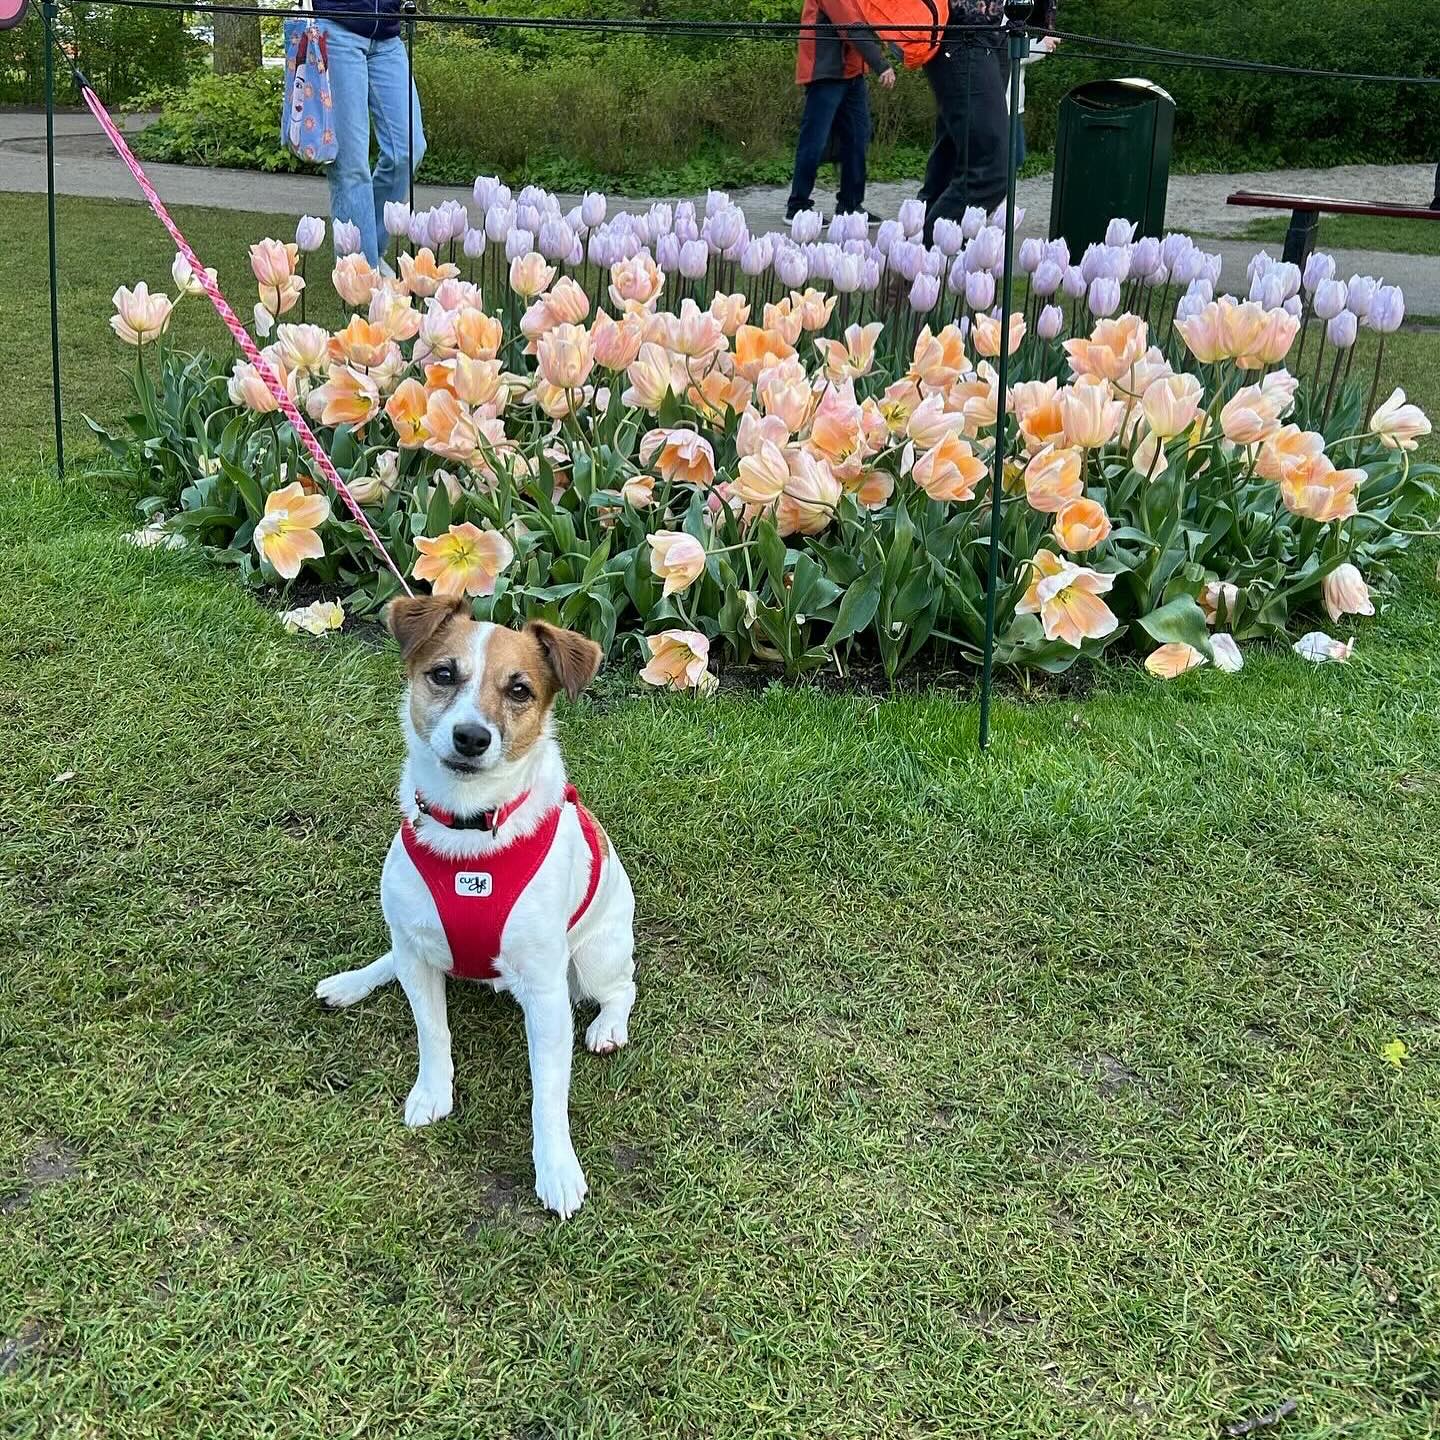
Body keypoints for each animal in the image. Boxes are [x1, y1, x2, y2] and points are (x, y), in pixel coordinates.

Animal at [318, 593, 639, 1215]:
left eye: (520, 690)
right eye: (444, 674)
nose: (471, 737)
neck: (470, 830)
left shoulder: (546, 992)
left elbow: (548, 1092)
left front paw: (556, 1167)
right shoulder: (418, 956)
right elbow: (432, 1032)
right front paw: (432, 1091)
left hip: (595, 956)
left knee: (623, 987)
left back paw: (608, 1026)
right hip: (411, 936)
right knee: (393, 957)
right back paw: (350, 982)